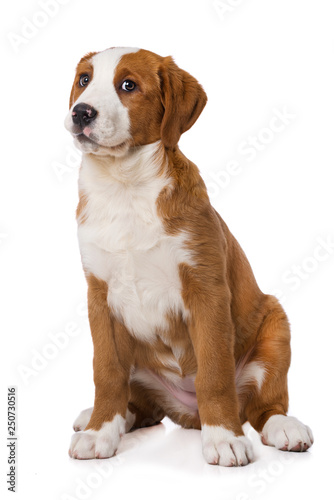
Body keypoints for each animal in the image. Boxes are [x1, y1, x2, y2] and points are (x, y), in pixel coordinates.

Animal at [64, 47, 314, 464]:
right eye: (84, 80)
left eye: (128, 85)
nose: (81, 113)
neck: (125, 187)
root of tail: (187, 413)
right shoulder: (100, 297)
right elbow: (107, 372)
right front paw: (100, 432)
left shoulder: (205, 290)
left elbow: (214, 374)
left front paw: (224, 438)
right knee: (142, 406)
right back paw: (101, 417)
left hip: (275, 328)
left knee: (264, 406)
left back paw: (285, 428)